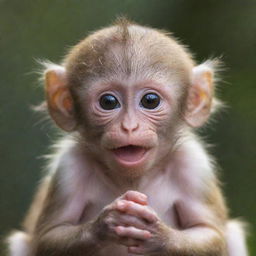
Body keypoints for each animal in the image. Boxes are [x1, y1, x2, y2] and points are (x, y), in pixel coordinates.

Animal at [7, 19, 248, 255]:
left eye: (150, 100)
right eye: (108, 102)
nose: (129, 127)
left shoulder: (194, 165)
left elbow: (211, 234)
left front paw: (156, 233)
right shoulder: (69, 167)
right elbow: (48, 237)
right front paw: (107, 223)